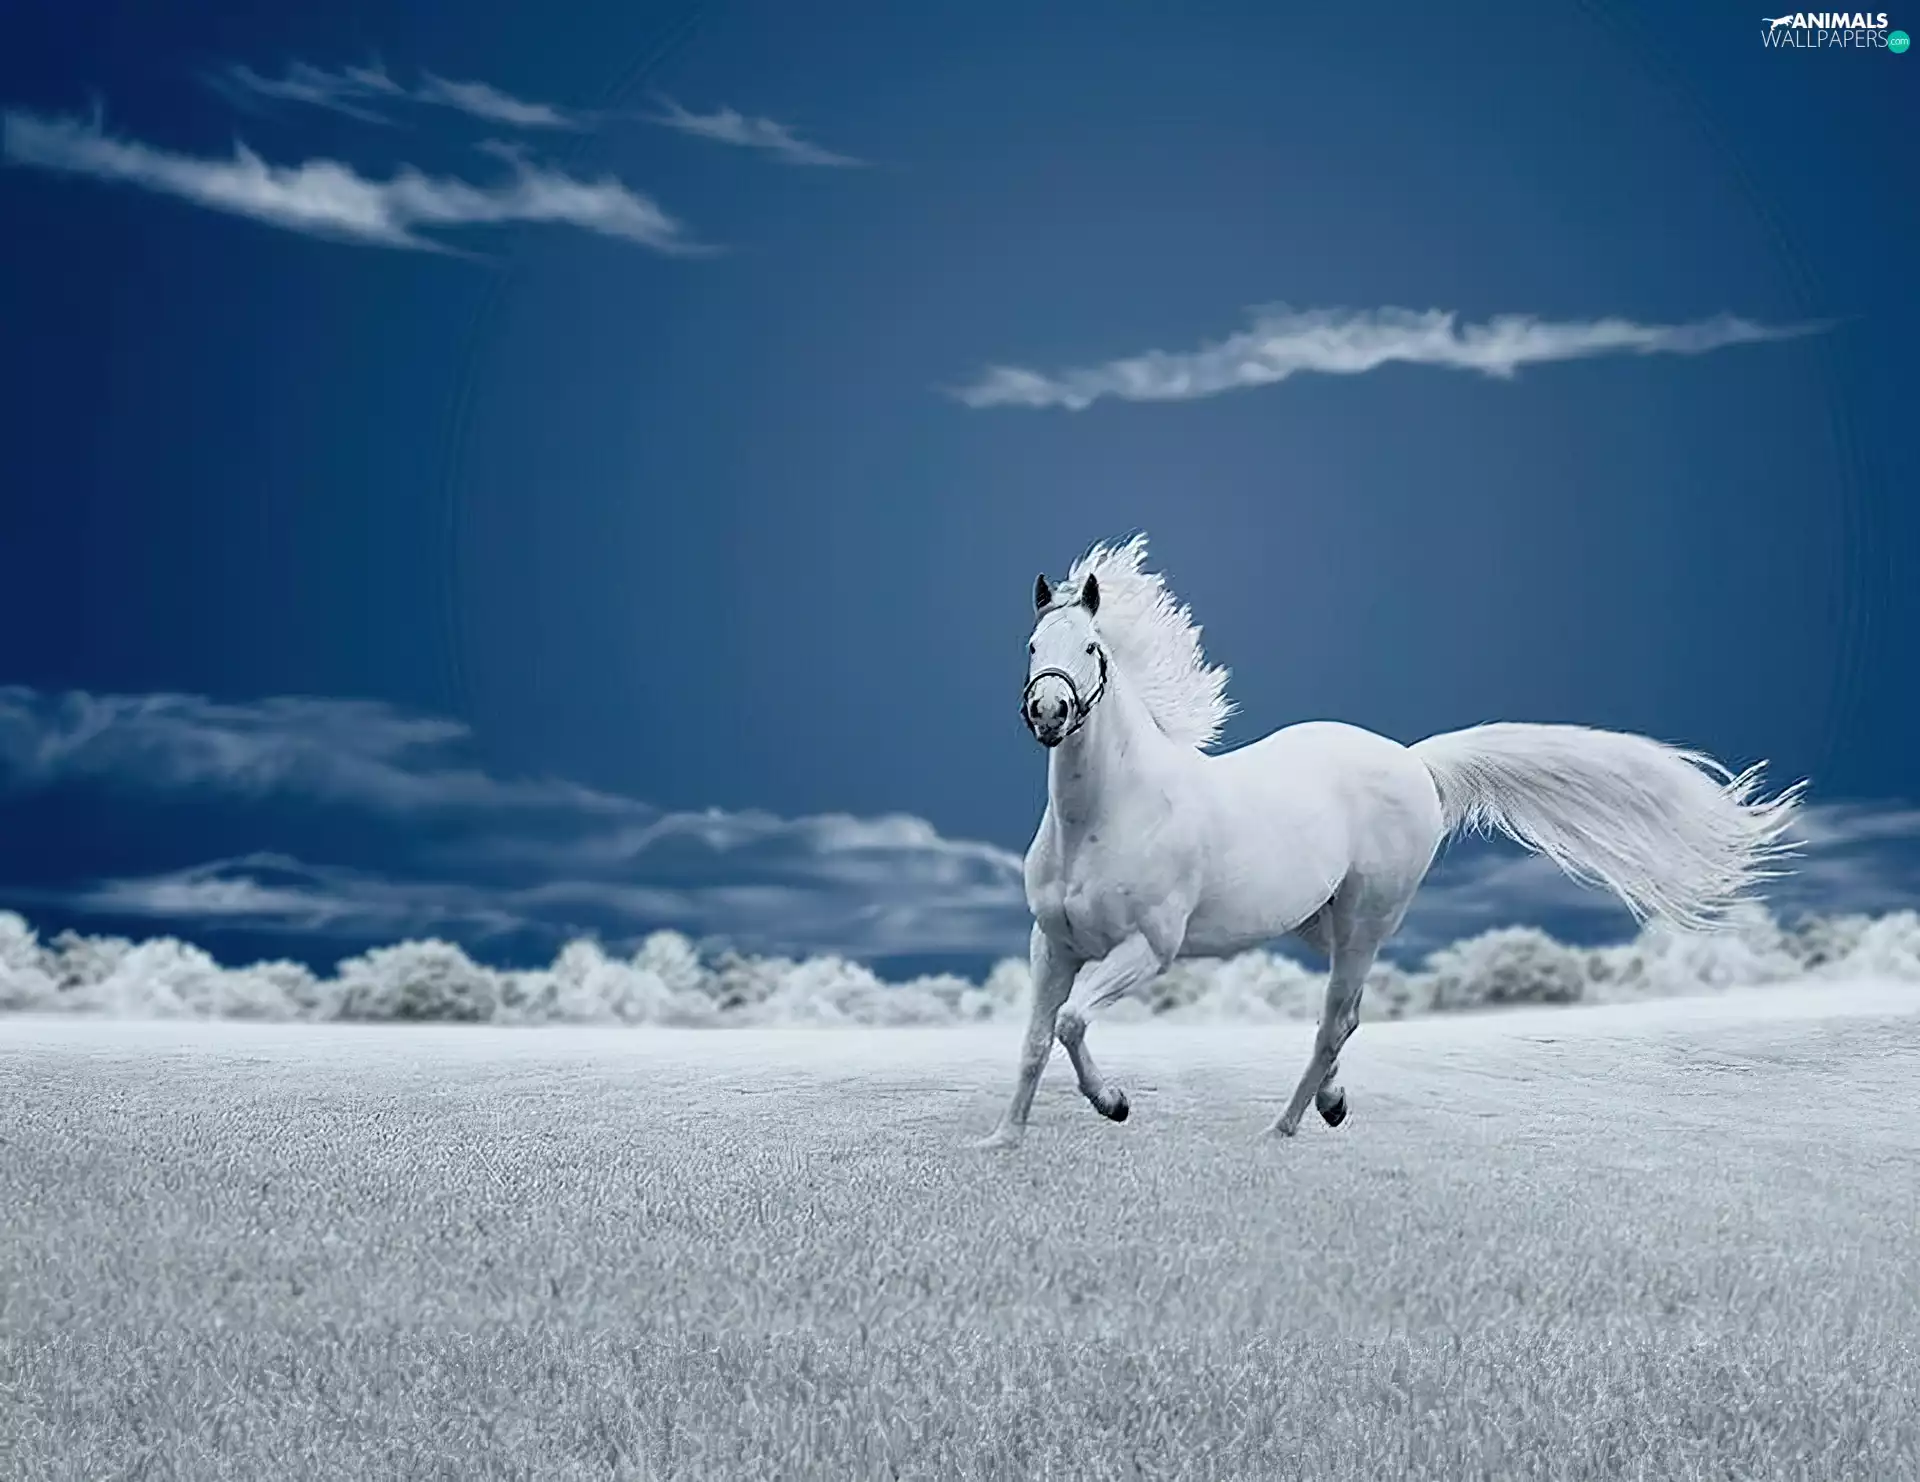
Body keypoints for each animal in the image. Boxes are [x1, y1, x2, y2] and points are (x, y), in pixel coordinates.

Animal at [976, 534, 1803, 1149]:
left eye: (1091, 647)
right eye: (1031, 645)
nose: (1049, 713)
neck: (1106, 816)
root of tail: (1415, 761)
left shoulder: (1149, 947)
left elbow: (1072, 1022)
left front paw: (1113, 1102)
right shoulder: (1054, 945)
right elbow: (1035, 1040)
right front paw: (1003, 1141)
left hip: (1367, 919)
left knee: (1333, 1020)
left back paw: (1285, 1128)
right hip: (1325, 922)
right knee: (1350, 1015)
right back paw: (1330, 1104)